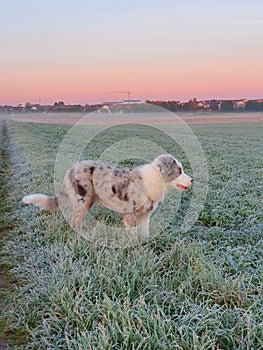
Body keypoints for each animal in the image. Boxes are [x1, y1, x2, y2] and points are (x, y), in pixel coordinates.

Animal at [22, 154, 194, 237]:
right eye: (179, 171)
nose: (193, 180)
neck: (153, 181)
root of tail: (70, 169)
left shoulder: (145, 215)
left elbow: (145, 233)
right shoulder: (129, 214)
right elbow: (132, 235)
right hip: (84, 199)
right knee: (74, 221)